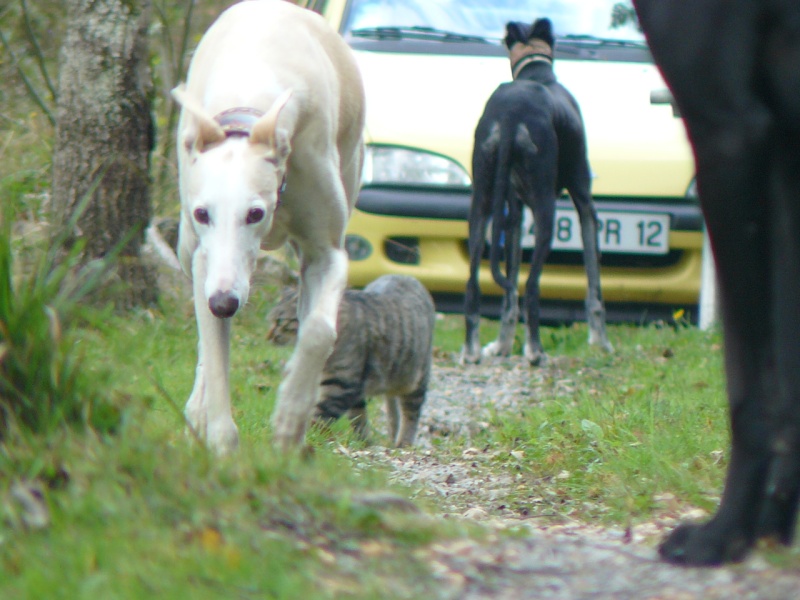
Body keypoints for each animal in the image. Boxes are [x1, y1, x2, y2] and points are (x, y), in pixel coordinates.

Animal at [266, 274, 434, 448]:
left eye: (279, 321)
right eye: (269, 320)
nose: (268, 336)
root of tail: (405, 276)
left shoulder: (341, 384)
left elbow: (319, 416)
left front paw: (307, 437)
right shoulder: (352, 390)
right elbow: (358, 419)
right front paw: (364, 441)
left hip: (416, 381)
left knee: (411, 415)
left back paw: (403, 443)